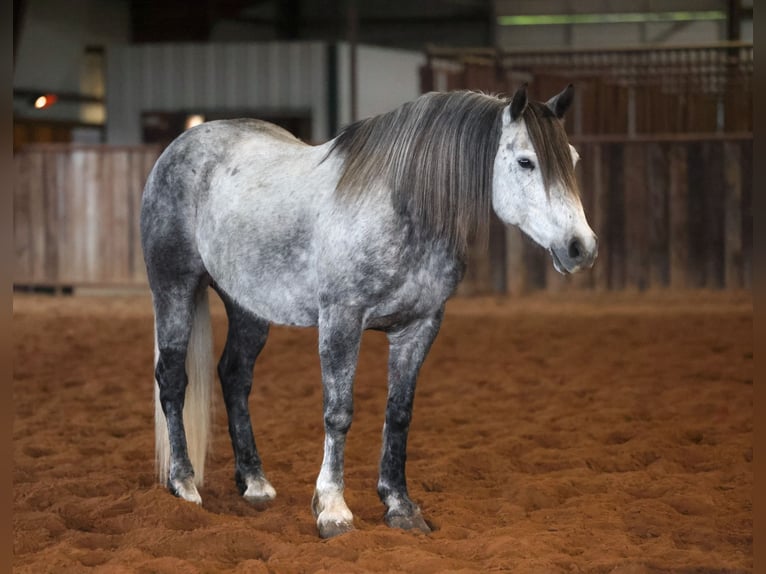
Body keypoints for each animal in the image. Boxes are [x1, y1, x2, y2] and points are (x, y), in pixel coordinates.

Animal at [140, 84, 598, 539]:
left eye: (573, 159)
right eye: (526, 161)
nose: (582, 248)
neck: (402, 208)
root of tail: (181, 145)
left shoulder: (420, 327)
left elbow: (399, 413)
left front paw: (400, 507)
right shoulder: (341, 320)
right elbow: (339, 413)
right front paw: (332, 510)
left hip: (247, 306)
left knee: (235, 375)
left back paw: (255, 483)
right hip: (174, 287)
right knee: (173, 378)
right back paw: (183, 484)